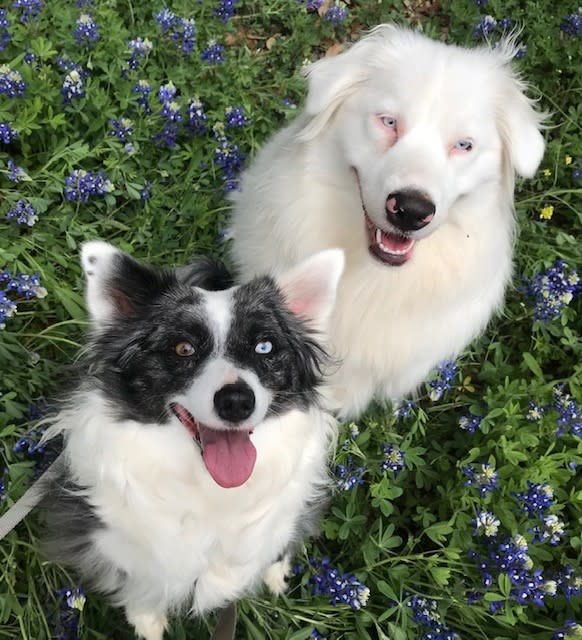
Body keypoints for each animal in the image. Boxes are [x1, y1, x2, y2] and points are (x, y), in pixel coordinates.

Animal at [45, 241, 344, 640]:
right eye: (182, 348)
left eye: (265, 347)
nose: (236, 401)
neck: (210, 489)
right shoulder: (112, 540)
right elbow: (143, 583)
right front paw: (147, 622)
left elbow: (272, 547)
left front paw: (275, 572)